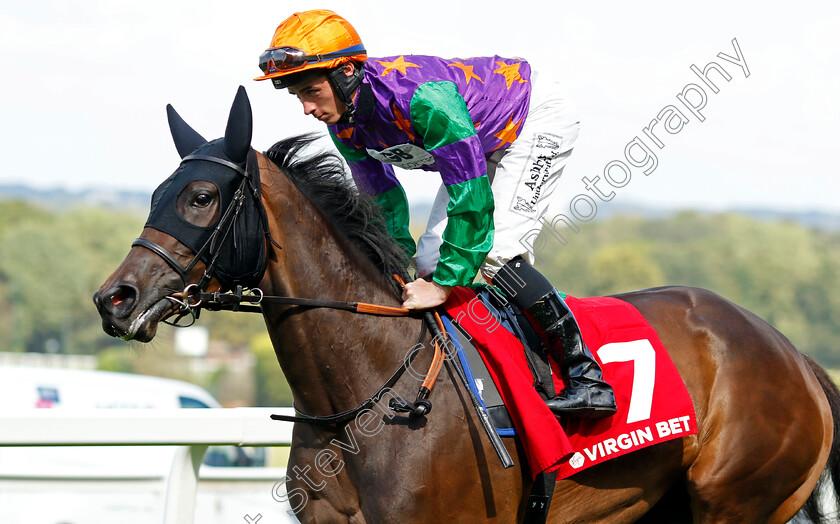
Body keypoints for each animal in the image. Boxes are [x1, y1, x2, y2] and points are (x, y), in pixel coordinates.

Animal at [93, 88, 840, 520]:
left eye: (200, 197)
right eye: (157, 193)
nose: (114, 298)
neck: (367, 388)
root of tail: (795, 356)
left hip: (737, 498)